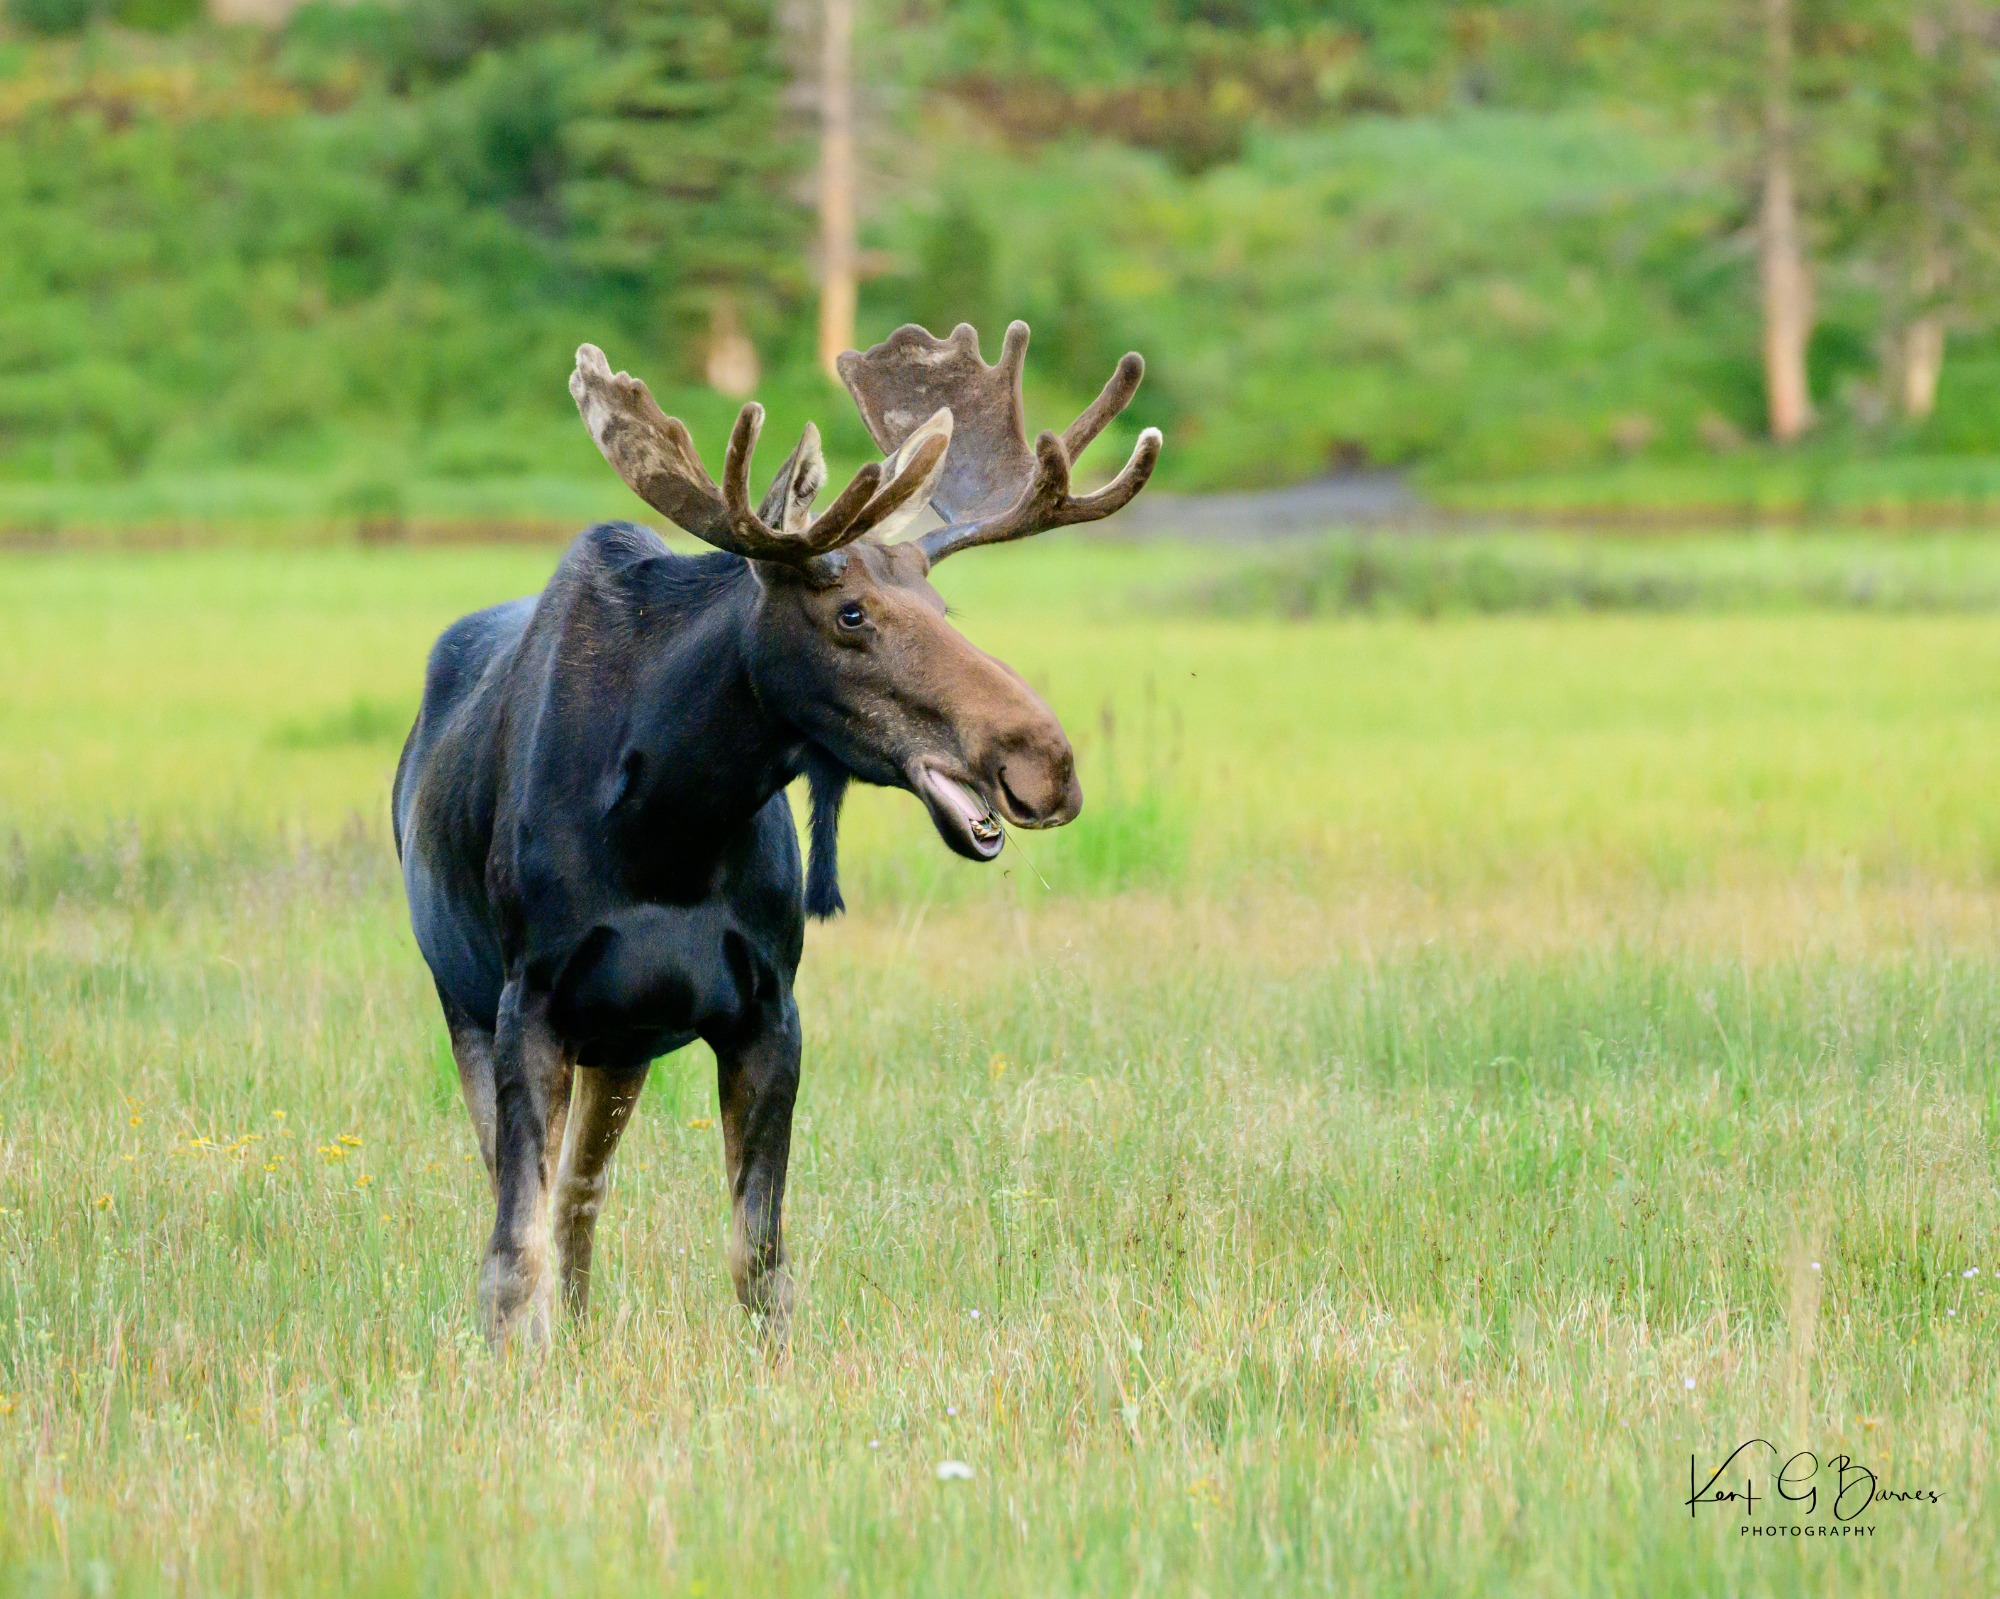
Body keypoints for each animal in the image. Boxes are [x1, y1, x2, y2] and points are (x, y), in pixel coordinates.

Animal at [391, 320, 1161, 1347]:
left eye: (945, 609)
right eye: (850, 613)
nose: (1044, 760)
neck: (665, 829)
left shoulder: (769, 1007)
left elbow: (760, 1257)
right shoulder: (529, 998)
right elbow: (512, 1253)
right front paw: (518, 1364)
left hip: (623, 1041)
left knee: (583, 1199)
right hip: (467, 999)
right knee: (537, 1202)